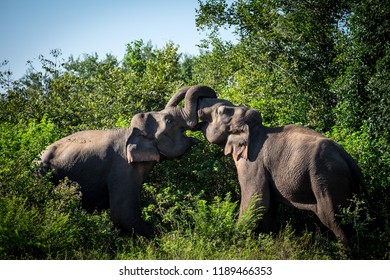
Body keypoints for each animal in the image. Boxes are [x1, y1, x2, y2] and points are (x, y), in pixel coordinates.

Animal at [195, 97, 368, 245]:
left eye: (220, 111)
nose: (199, 112)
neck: (255, 129)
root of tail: (347, 157)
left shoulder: (252, 164)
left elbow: (257, 202)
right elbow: (268, 208)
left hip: (327, 178)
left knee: (335, 220)